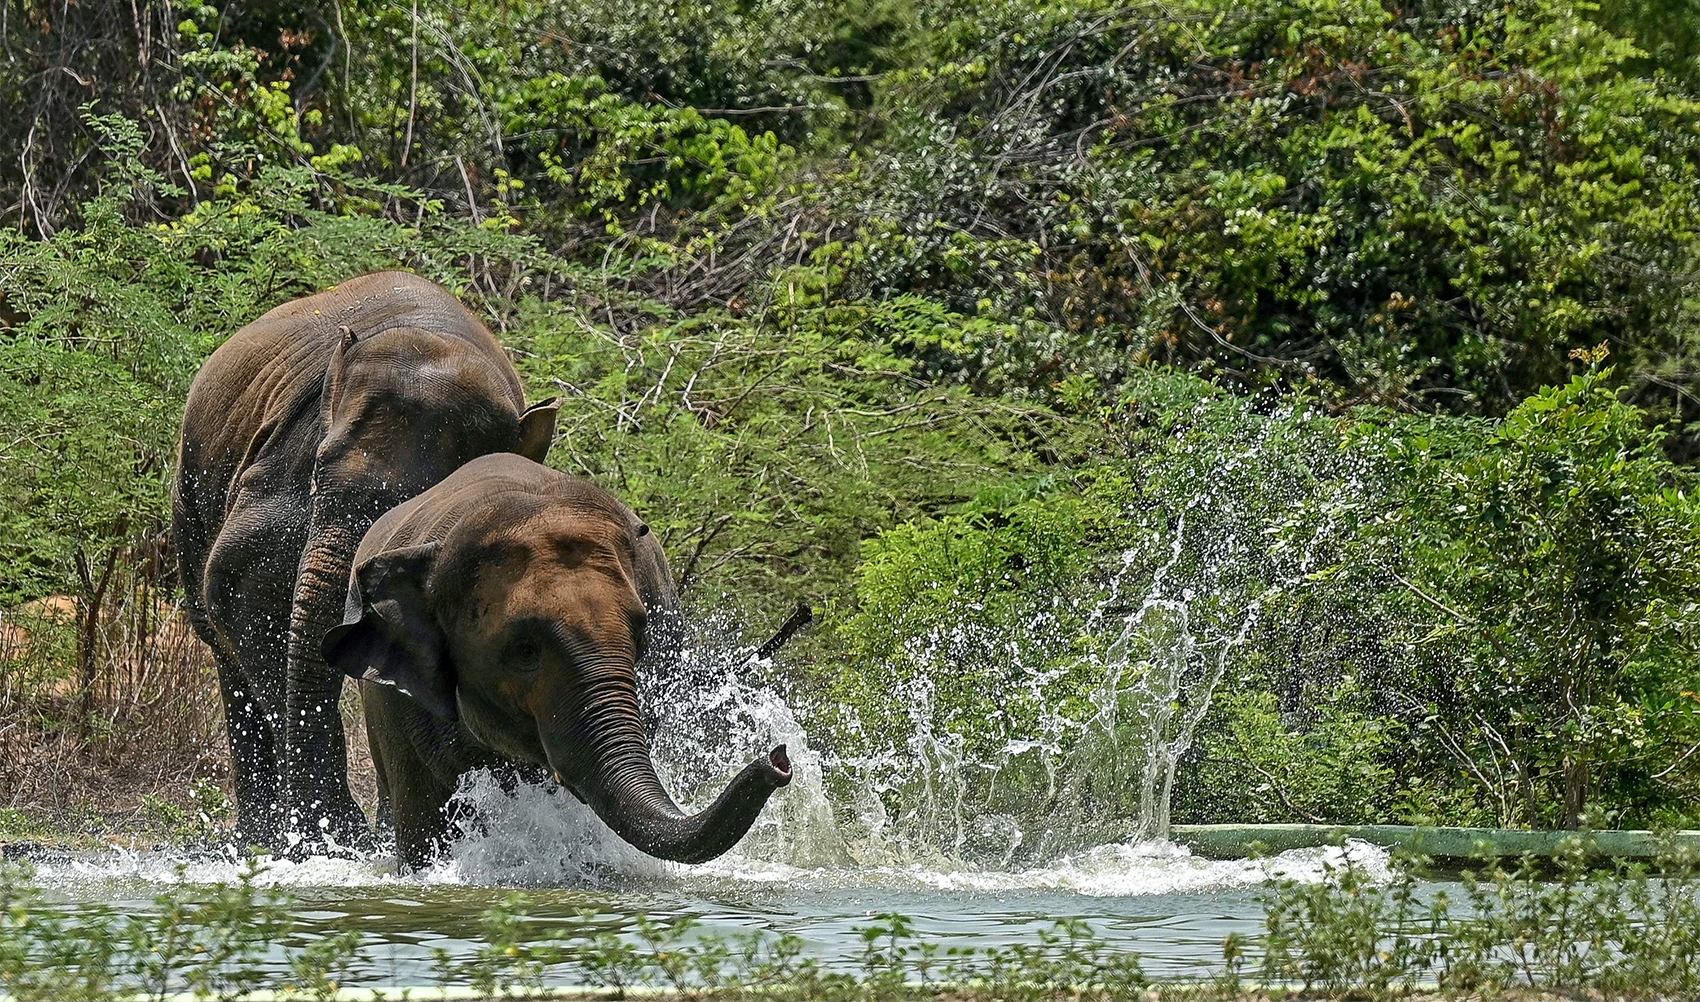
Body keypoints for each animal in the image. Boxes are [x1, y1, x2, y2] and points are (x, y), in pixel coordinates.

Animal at [173, 272, 559, 851]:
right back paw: (265, 841)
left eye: (423, 504)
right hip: (190, 494)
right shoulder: (285, 464)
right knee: (224, 649)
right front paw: (331, 839)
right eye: (316, 474)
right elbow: (245, 584)